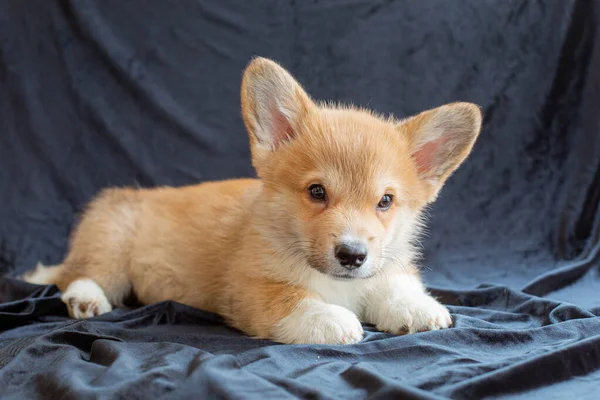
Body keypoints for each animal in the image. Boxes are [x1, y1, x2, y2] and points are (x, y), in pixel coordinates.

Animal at [24, 57, 482, 346]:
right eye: (317, 192)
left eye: (385, 201)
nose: (352, 255)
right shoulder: (247, 288)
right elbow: (293, 299)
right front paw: (330, 319)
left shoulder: (384, 265)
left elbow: (394, 283)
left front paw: (418, 308)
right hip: (112, 245)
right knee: (80, 274)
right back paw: (86, 299)